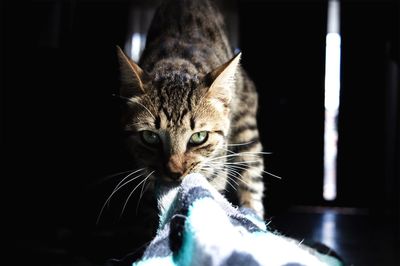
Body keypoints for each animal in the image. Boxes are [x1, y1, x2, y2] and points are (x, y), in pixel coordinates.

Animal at [115, 0, 266, 218]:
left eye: (199, 136)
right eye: (150, 137)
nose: (174, 172)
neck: (176, 63)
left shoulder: (215, 172)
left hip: (247, 131)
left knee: (252, 181)